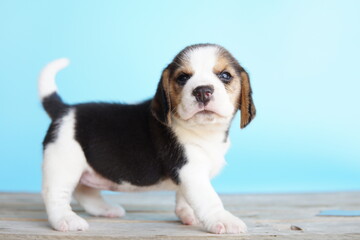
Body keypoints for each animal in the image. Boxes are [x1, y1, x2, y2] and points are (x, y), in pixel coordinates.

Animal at [39, 44, 255, 233]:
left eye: (225, 76)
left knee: (84, 191)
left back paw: (106, 209)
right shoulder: (191, 171)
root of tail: (64, 109)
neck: (205, 130)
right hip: (63, 163)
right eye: (183, 78)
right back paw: (66, 220)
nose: (202, 91)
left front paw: (188, 214)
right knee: (55, 195)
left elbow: (184, 197)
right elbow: (209, 199)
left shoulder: (190, 176)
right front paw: (224, 220)